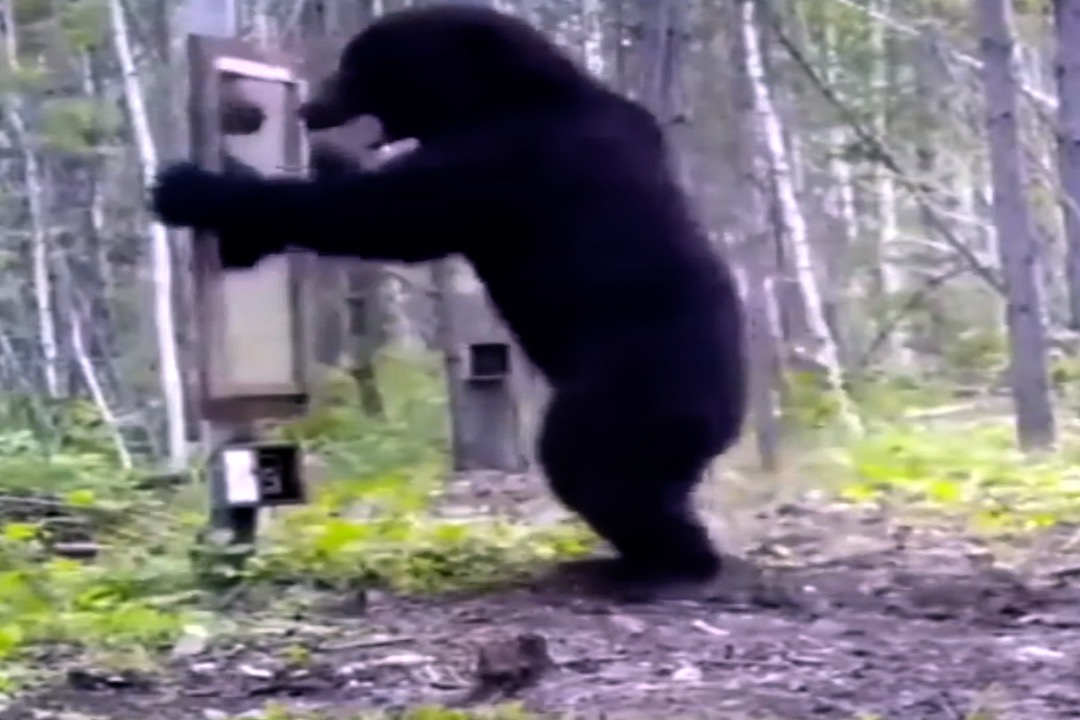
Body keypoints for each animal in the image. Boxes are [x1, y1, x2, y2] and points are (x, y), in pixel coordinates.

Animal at [150, 4, 749, 598]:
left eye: (355, 66)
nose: (309, 108)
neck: (499, 96)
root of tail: (732, 410)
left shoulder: (507, 159)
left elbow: (386, 216)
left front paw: (192, 188)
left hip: (632, 384)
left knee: (592, 464)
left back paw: (665, 566)